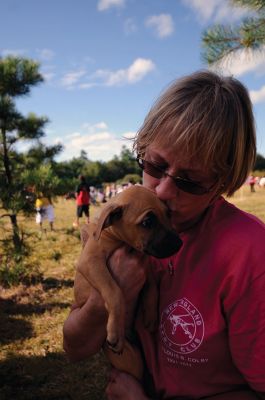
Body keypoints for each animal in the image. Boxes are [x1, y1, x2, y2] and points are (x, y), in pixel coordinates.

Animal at [73, 184, 182, 378]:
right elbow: (115, 292)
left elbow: (152, 286)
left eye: (168, 214)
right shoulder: (90, 261)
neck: (113, 235)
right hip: (129, 361)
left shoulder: (145, 264)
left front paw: (151, 315)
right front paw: (115, 330)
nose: (179, 244)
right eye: (147, 222)